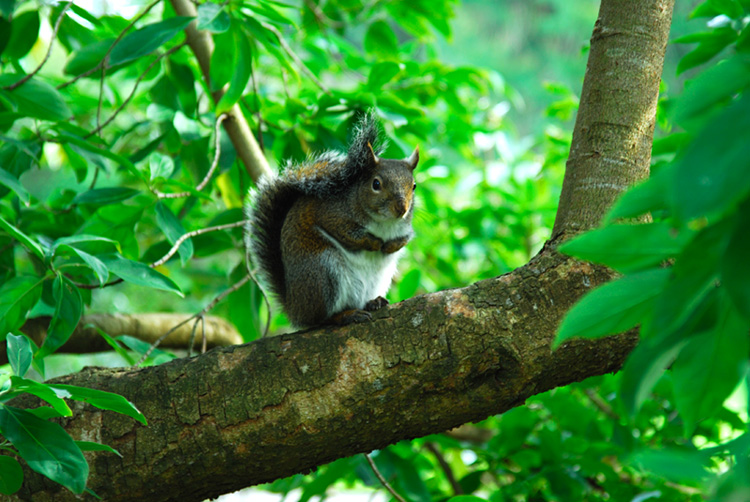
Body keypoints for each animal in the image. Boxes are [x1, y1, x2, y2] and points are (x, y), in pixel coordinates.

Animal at [248, 112, 420, 328]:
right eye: (376, 184)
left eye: (413, 185)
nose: (402, 209)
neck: (384, 222)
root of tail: (296, 309)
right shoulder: (330, 213)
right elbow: (345, 233)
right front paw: (374, 242)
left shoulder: (405, 227)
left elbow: (406, 238)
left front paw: (391, 246)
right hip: (323, 271)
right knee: (320, 320)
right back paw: (344, 316)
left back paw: (374, 302)